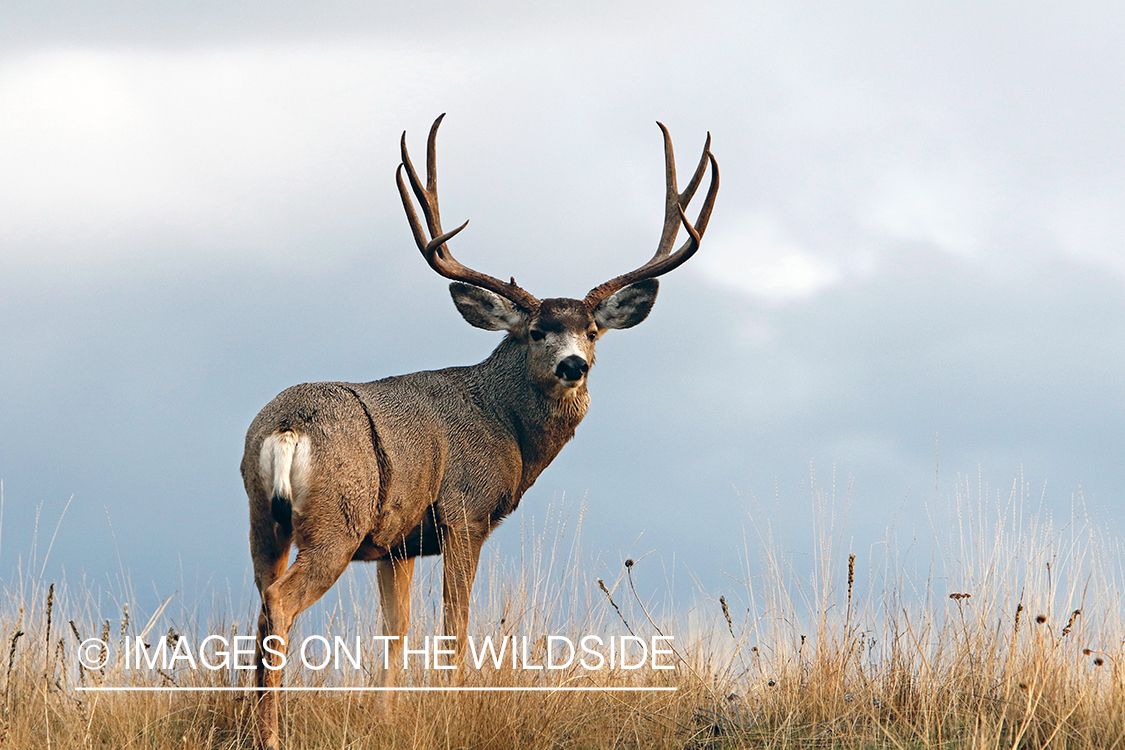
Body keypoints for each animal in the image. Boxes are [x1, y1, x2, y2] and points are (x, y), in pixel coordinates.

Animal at [244, 114, 720, 746]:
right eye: (537, 331)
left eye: (593, 330)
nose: (574, 365)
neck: (504, 422)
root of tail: (287, 428)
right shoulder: (463, 514)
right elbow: (453, 630)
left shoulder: (397, 543)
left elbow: (396, 633)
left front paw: (386, 720)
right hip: (335, 522)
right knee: (280, 601)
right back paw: (270, 734)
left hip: (263, 518)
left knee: (260, 598)